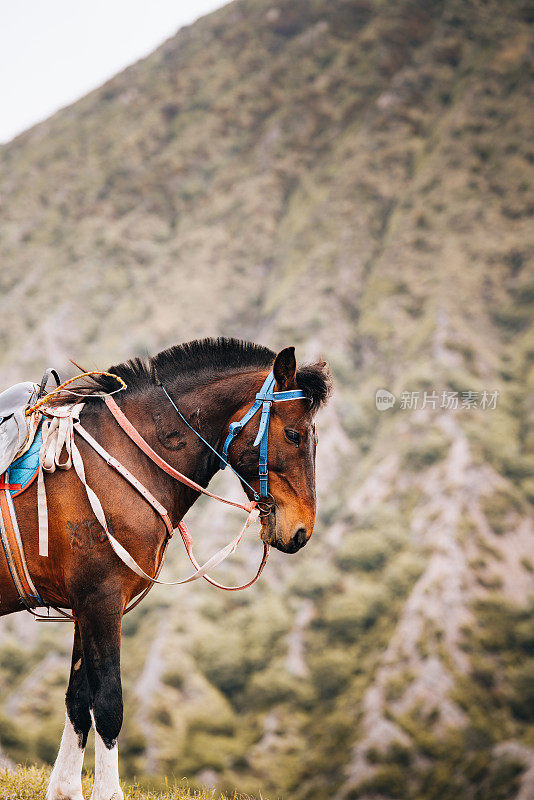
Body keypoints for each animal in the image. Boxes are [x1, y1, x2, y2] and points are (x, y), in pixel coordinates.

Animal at [0, 340, 332, 800]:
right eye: (295, 435)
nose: (301, 530)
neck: (122, 461)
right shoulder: (102, 601)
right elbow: (108, 704)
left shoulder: (85, 606)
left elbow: (77, 702)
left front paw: (65, 789)